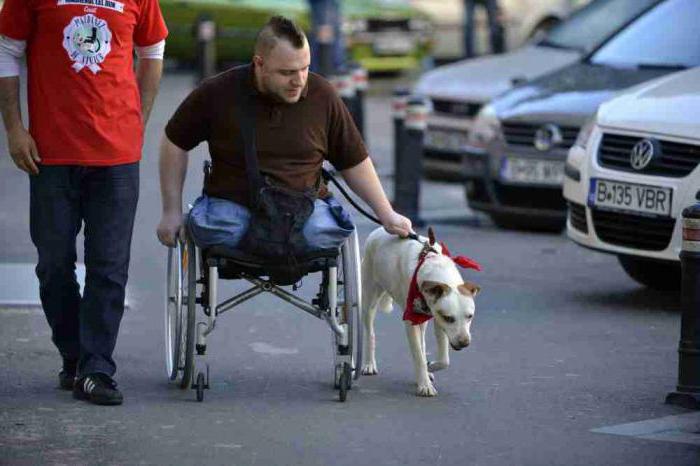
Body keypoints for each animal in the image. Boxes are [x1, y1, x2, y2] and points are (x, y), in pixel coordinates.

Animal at [360, 228, 482, 396]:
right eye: (449, 318)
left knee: (423, 341)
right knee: (369, 333)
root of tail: (378, 230)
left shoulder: (437, 318)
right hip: (369, 299)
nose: (464, 343)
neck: (434, 269)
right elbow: (418, 355)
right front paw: (424, 384)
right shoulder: (412, 319)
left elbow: (444, 360)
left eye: (470, 317)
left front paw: (430, 367)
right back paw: (368, 364)